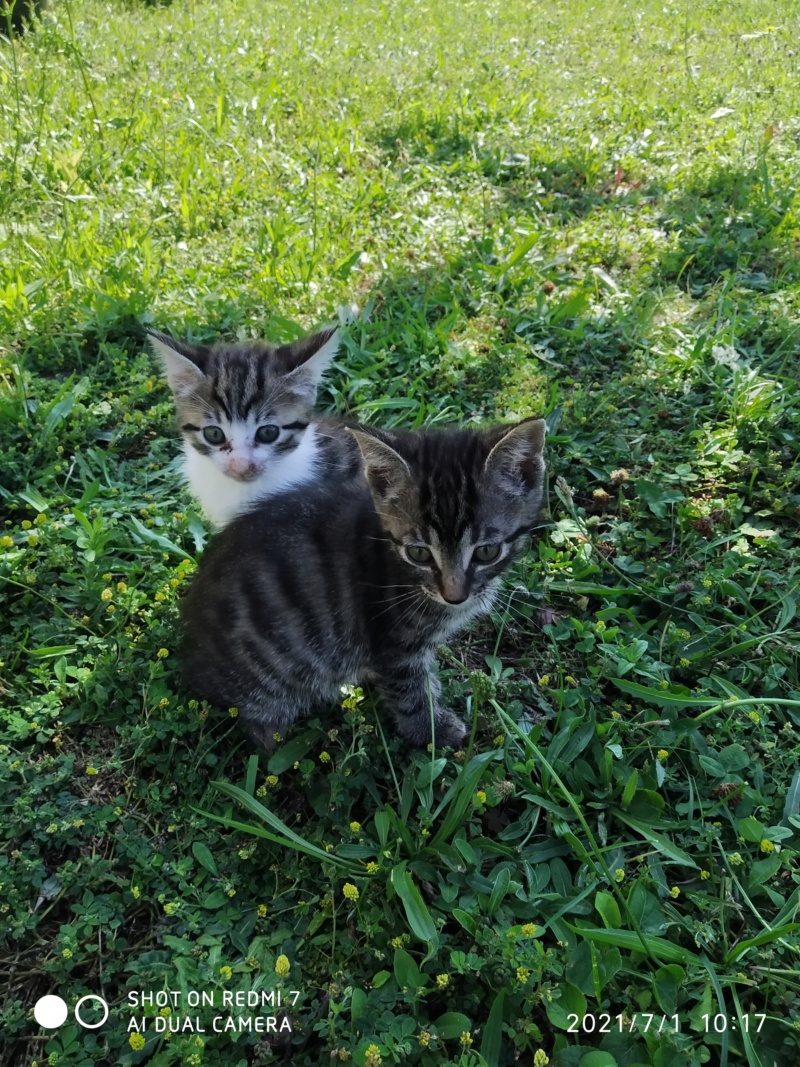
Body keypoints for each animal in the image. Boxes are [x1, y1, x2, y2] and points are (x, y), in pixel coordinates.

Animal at [181, 416, 546, 751]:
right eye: (419, 553)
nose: (454, 596)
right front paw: (432, 730)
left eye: (487, 551)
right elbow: (409, 691)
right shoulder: (392, 642)